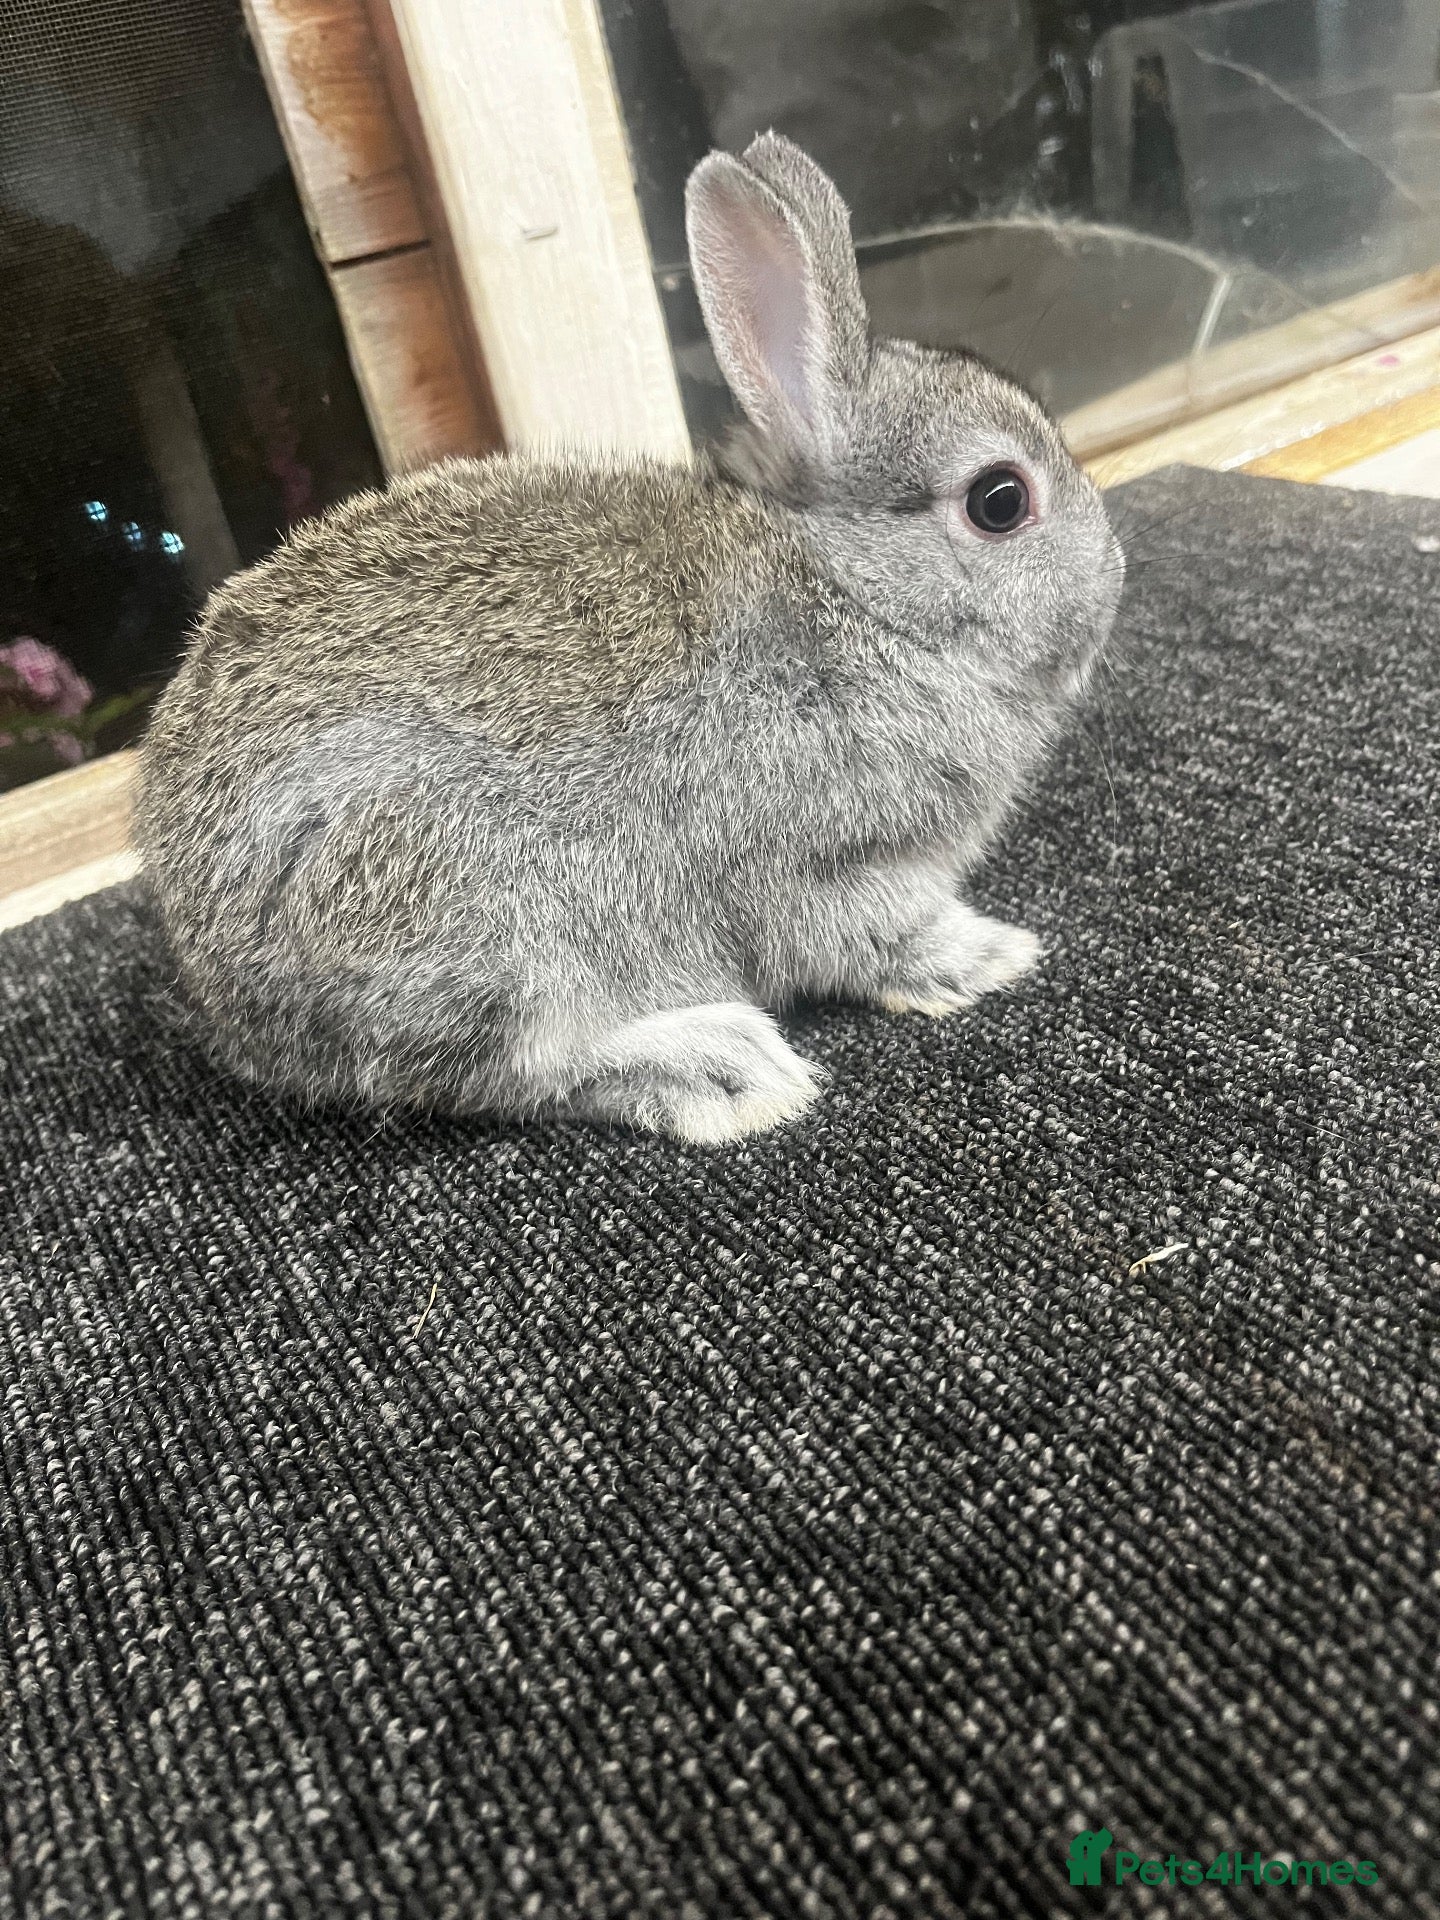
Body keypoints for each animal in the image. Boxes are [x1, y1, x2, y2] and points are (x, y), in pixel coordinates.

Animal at [137, 133, 1124, 1144]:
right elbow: (873, 938)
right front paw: (992, 952)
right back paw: (723, 1069)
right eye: (1000, 501)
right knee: (523, 1069)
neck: (856, 596)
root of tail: (230, 996)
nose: (1115, 576)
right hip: (474, 921)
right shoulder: (827, 862)